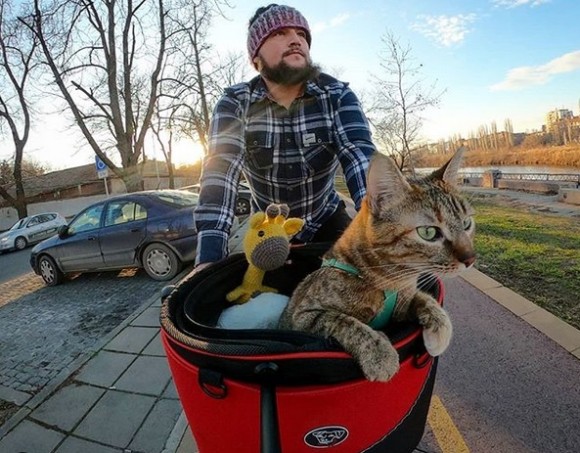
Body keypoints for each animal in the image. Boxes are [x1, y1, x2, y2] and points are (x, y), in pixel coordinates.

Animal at [278, 150, 476, 380]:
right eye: (429, 232)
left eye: (466, 224)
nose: (471, 258)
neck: (387, 281)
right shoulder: (302, 318)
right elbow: (343, 321)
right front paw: (379, 353)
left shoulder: (404, 301)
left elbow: (425, 299)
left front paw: (440, 328)